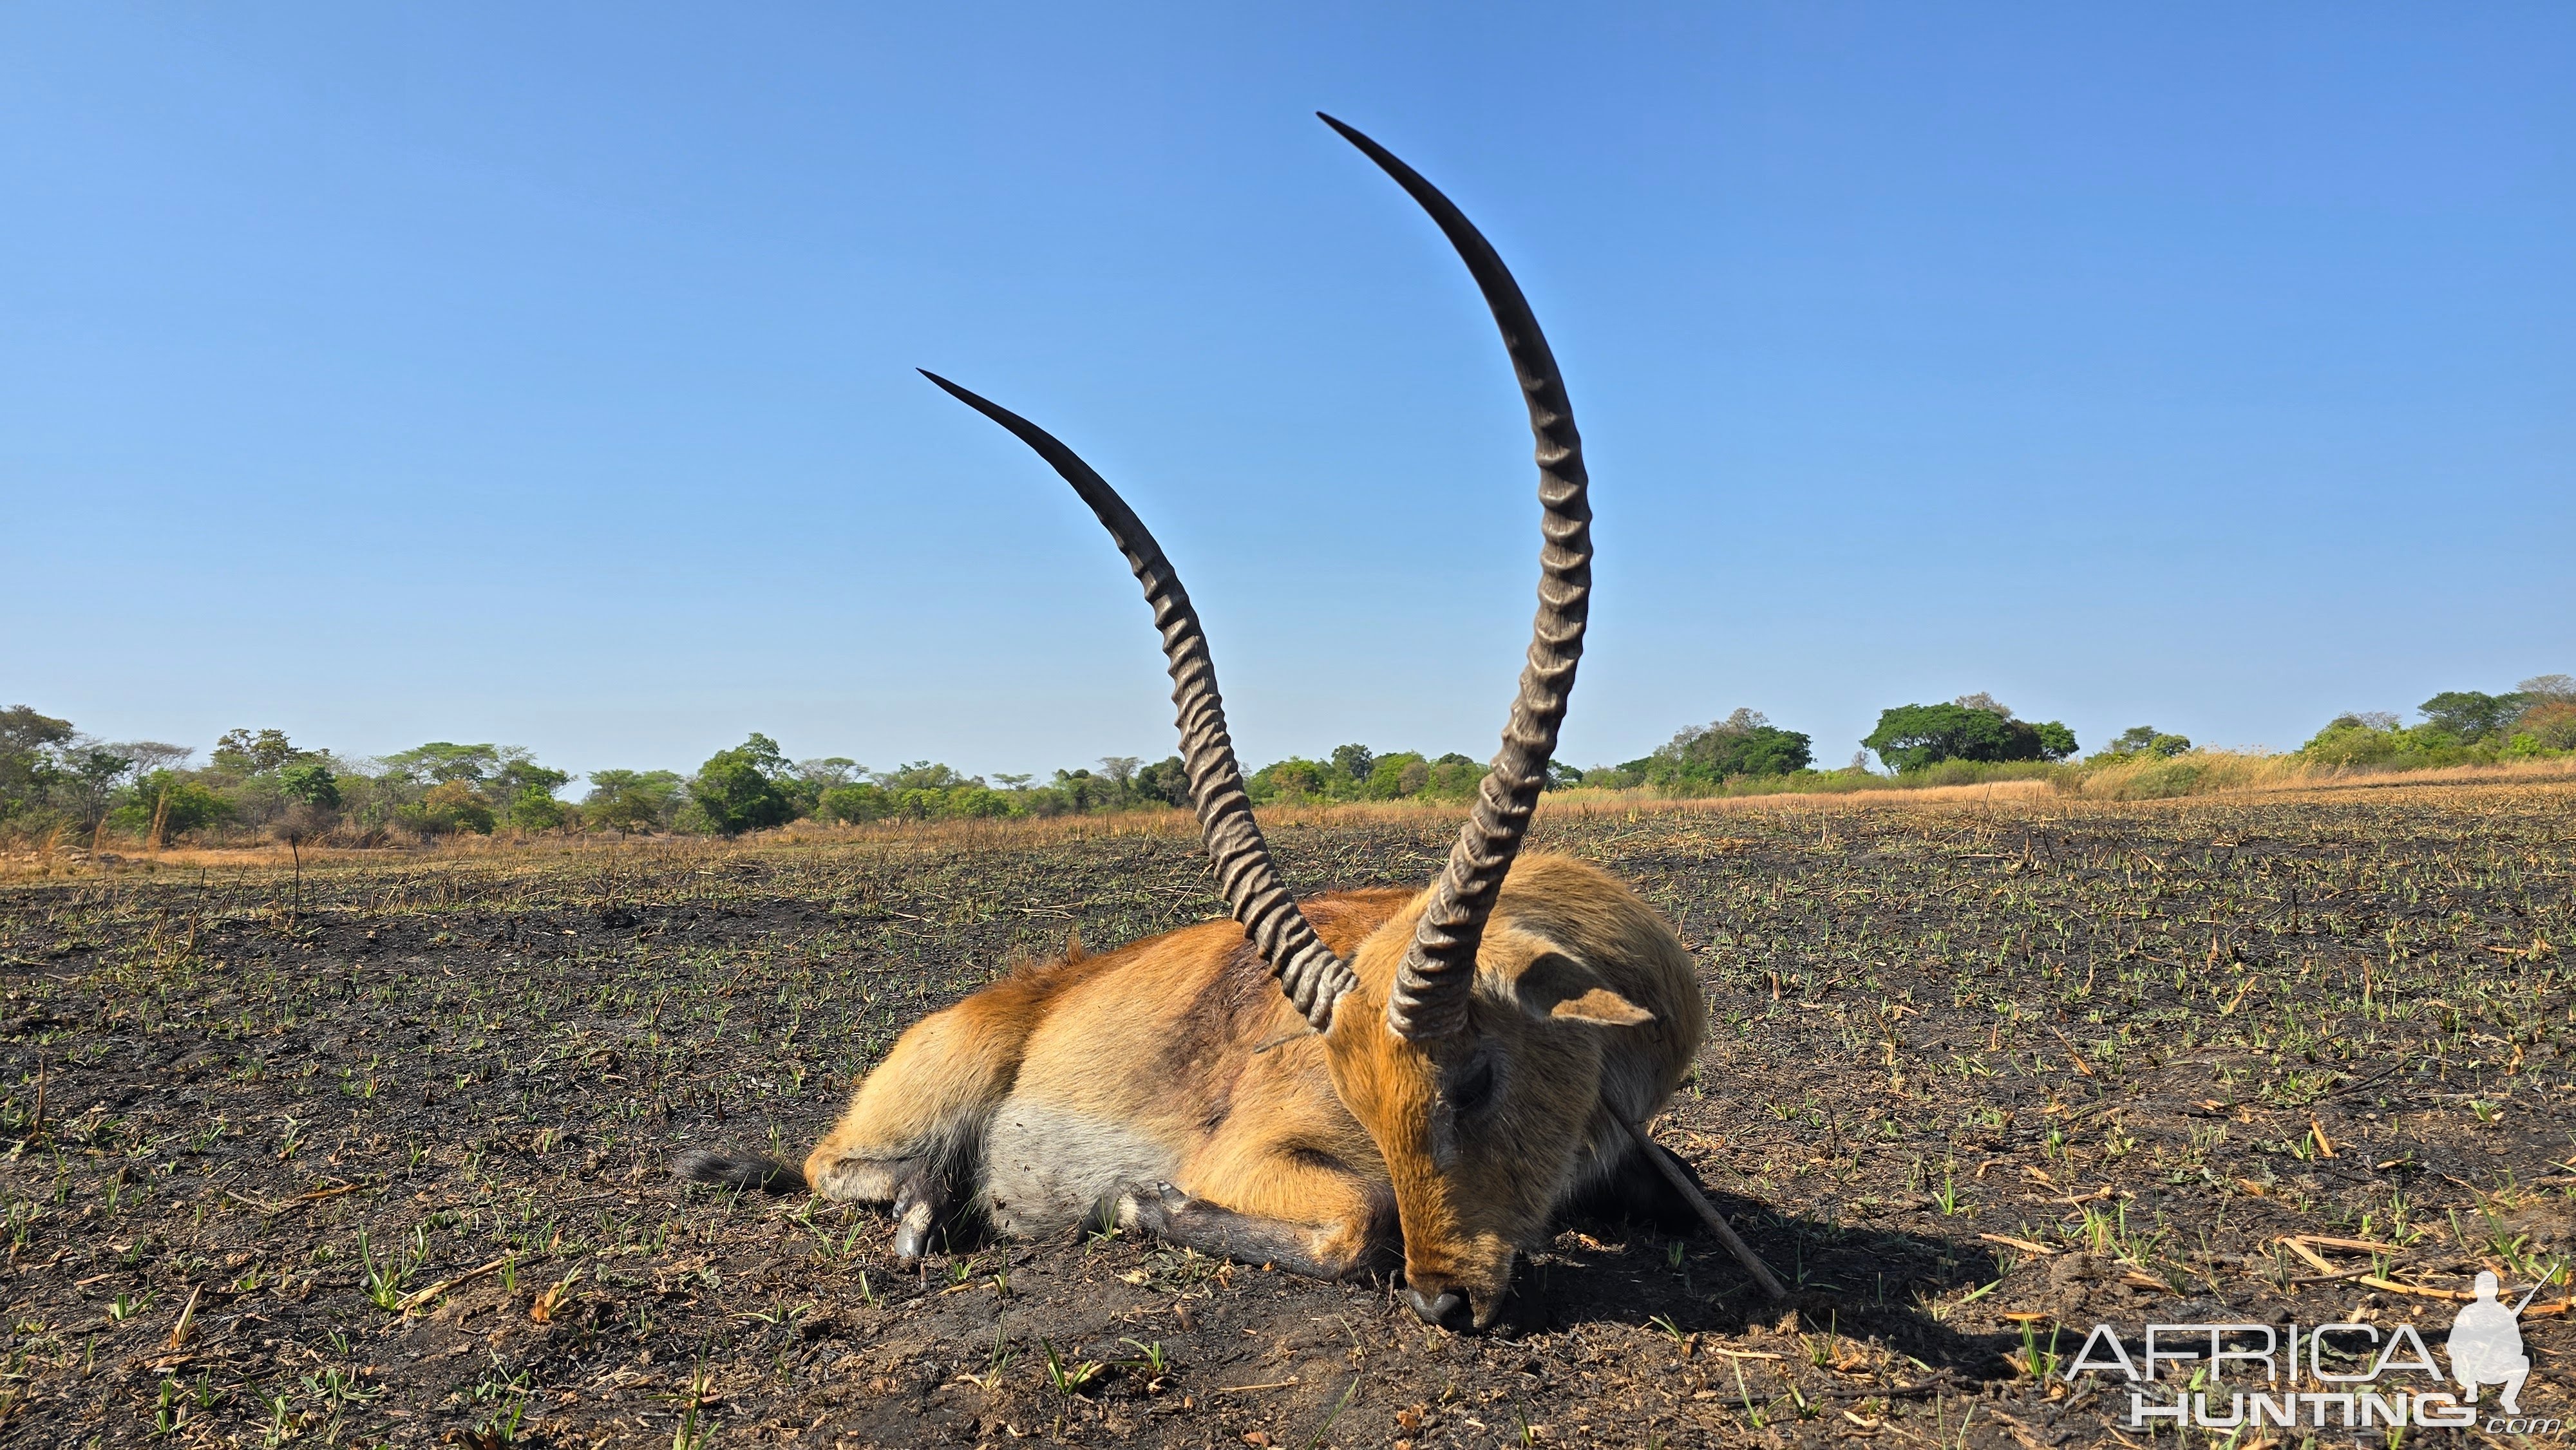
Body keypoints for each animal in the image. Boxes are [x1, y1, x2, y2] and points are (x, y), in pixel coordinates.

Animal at [675, 119, 1783, 1329]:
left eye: (1478, 1076)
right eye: (1358, 1094)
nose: (1446, 1303)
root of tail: (1026, 989)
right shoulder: (1259, 1156)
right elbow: (1358, 1223)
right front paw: (1140, 1204)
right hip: (908, 1112)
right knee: (833, 1166)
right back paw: (931, 1200)